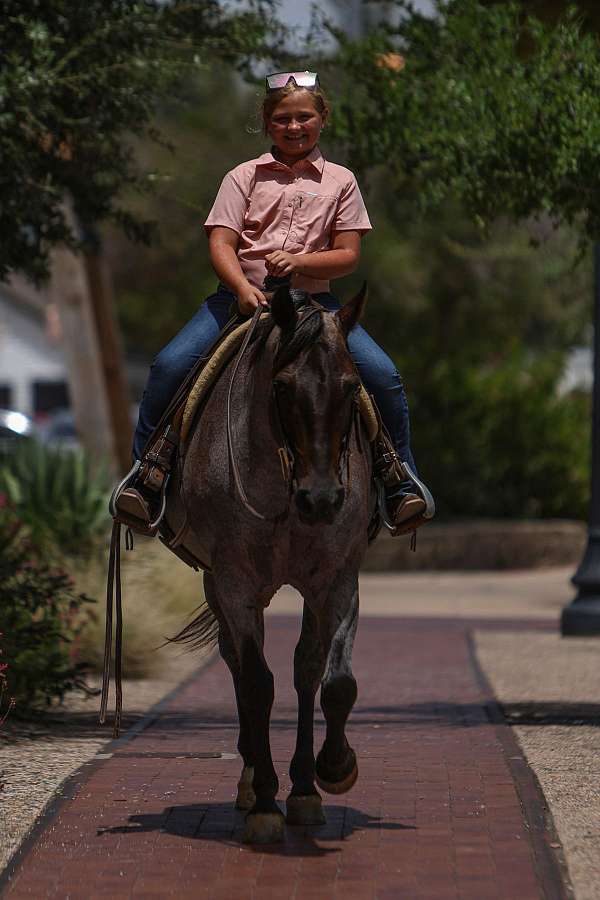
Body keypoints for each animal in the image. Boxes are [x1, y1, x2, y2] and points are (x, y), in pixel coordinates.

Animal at [170, 284, 376, 844]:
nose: (322, 499)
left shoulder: (338, 579)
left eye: (352, 387)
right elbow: (258, 686)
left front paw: (332, 770)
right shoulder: (235, 585)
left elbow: (333, 679)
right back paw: (251, 783)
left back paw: (303, 789)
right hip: (220, 589)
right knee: (241, 667)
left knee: (303, 670)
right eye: (282, 387)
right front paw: (264, 802)